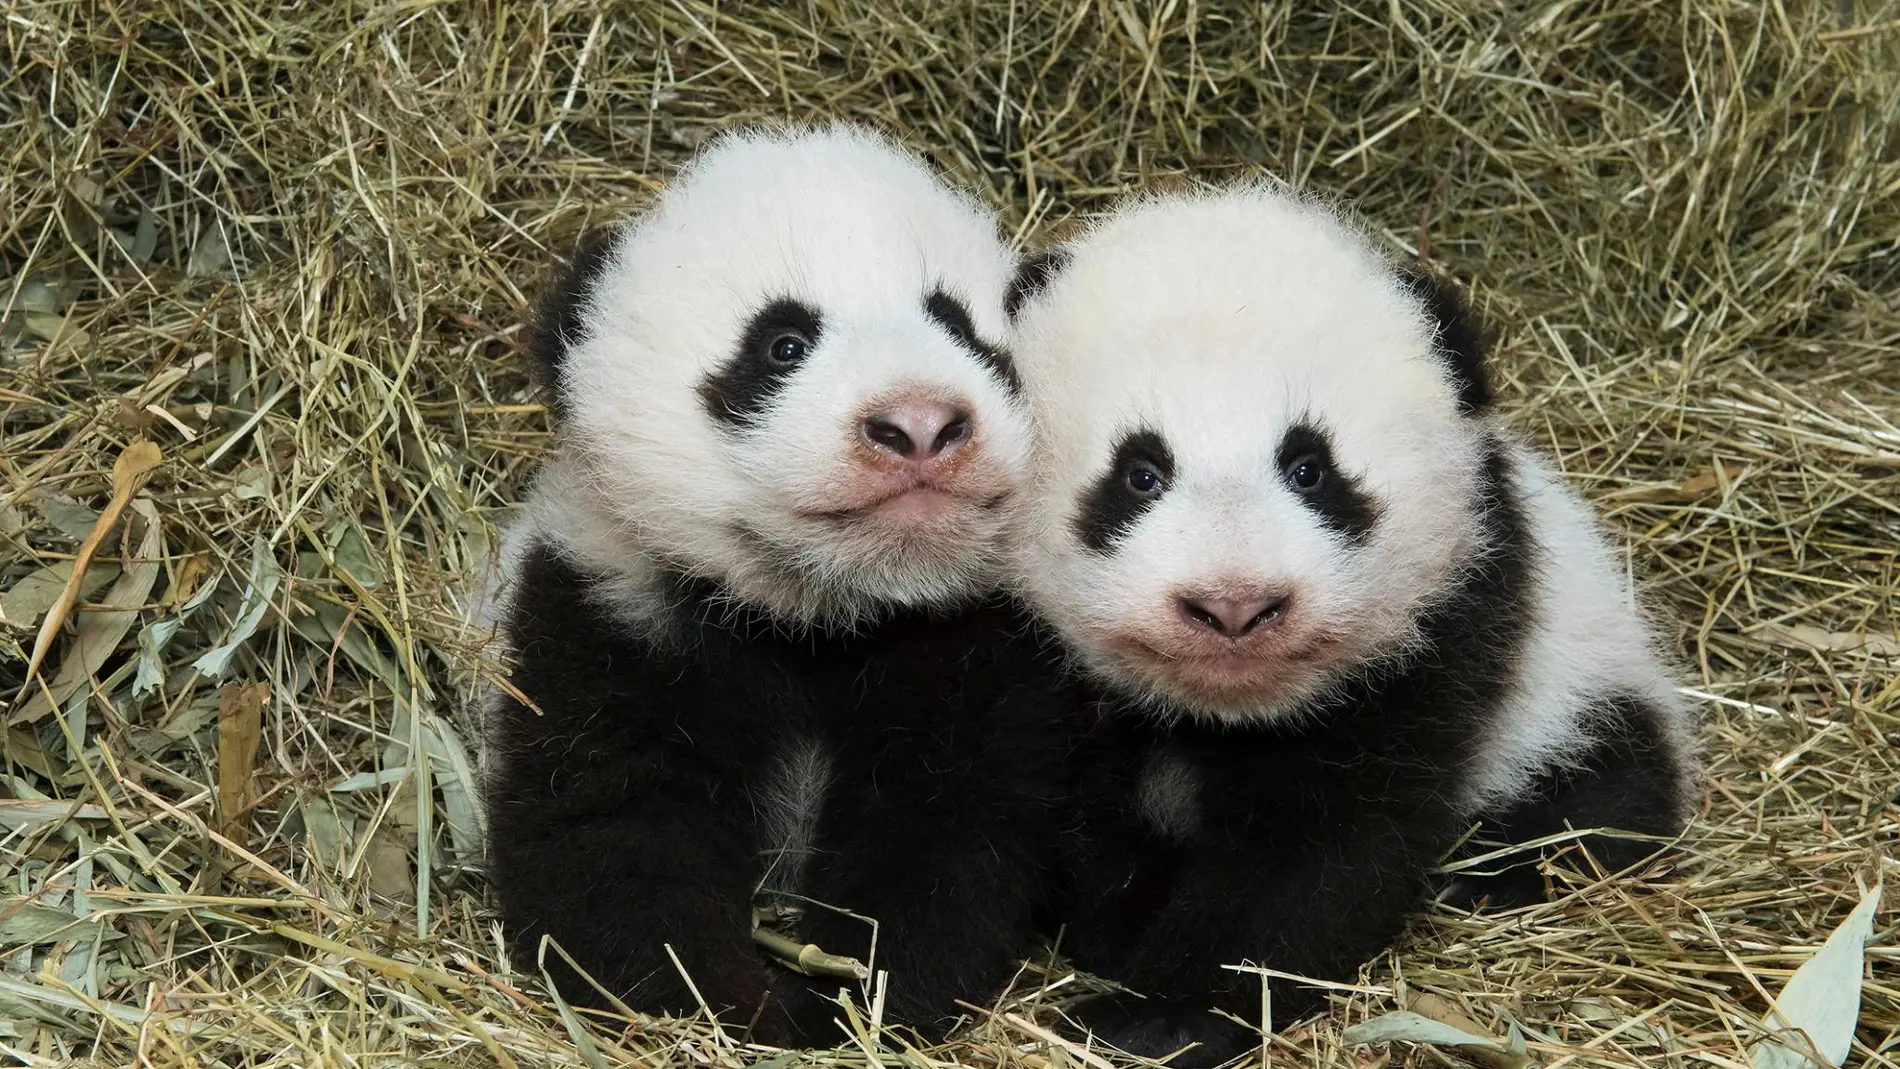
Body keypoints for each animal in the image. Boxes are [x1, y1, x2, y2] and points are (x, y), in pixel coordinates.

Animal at [479, 125, 1067, 1046]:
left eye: (962, 328)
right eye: (782, 344)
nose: (921, 423)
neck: (821, 614)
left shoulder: (975, 645)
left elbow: (946, 831)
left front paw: (846, 1003)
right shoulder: (604, 612)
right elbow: (612, 828)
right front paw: (724, 1006)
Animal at [1003, 187, 1698, 1065]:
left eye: (1311, 469)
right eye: (1140, 473)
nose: (1235, 605)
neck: (1222, 712)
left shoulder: (1444, 629)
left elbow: (1326, 849)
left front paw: (1163, 1014)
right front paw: (1121, 934)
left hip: (1578, 681)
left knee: (1606, 787)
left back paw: (1494, 872)